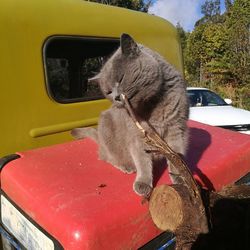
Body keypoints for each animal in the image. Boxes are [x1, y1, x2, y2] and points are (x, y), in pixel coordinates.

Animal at [72, 33, 189, 197]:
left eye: (120, 79)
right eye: (108, 91)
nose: (116, 97)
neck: (152, 105)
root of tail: (100, 140)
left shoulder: (177, 128)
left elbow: (176, 156)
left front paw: (181, 177)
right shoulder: (137, 136)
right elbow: (142, 161)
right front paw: (143, 183)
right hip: (106, 127)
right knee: (107, 157)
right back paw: (126, 166)